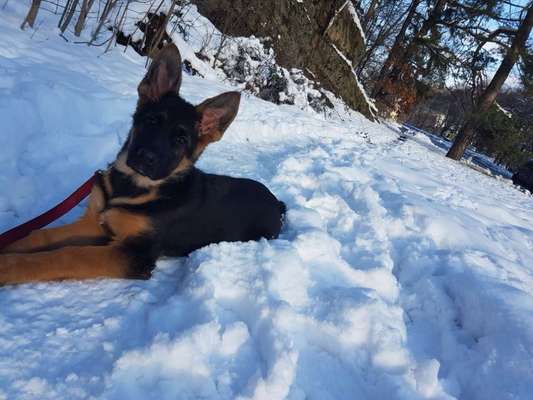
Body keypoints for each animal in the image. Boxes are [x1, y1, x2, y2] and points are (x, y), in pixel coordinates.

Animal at [0, 44, 284, 284]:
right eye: (152, 121)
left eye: (181, 140)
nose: (145, 157)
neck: (132, 186)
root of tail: (278, 202)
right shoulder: (97, 223)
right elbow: (40, 235)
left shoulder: (136, 253)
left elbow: (67, 254)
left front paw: (8, 266)